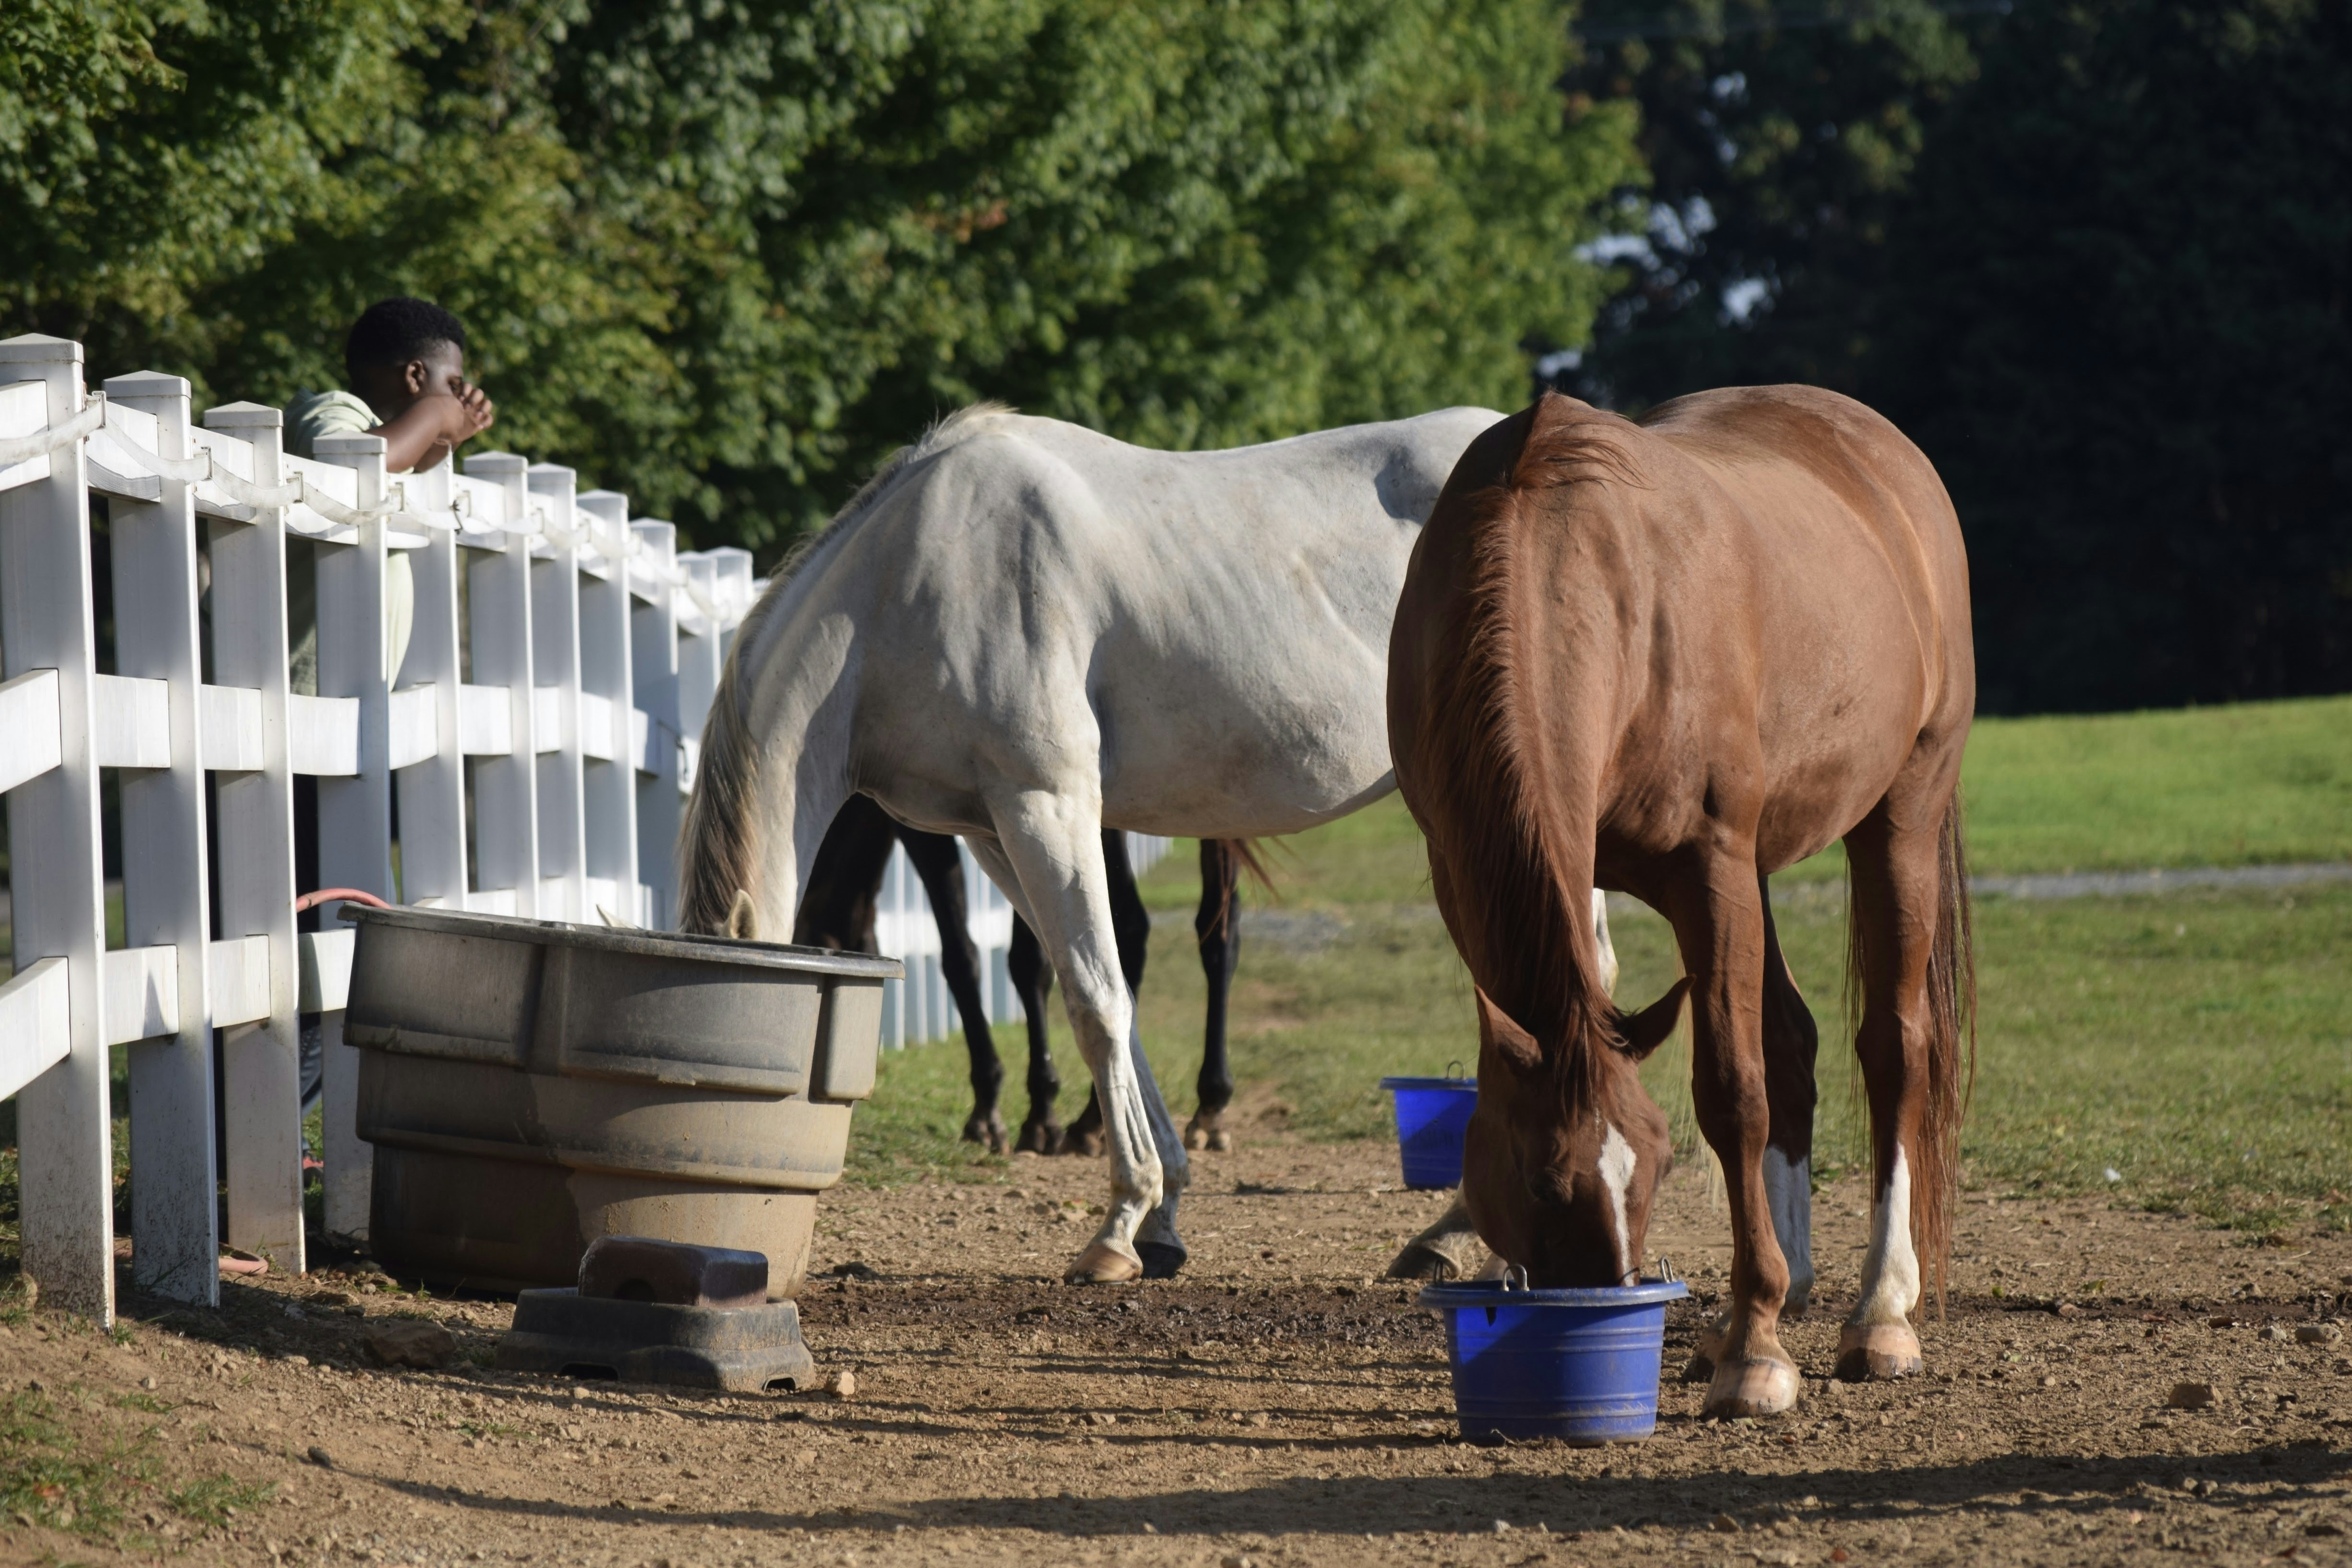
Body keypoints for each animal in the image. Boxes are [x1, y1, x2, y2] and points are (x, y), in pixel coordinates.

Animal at [795, 799, 1251, 1152]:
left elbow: (979, 956)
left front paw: (1015, 1110)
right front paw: (1029, 1105)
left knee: (1138, 931)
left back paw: (1107, 1118)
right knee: (1214, 932)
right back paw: (1200, 1106)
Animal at [1383, 385, 1976, 1420]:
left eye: (1658, 1164)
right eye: (1541, 1182)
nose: (1598, 1296)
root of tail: (1882, 451)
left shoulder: (1708, 869)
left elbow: (1732, 1093)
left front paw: (1755, 1355)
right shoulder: (1466, 863)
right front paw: (1751, 1314)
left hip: (1899, 811)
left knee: (1893, 1049)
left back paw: (1879, 1313)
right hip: (1764, 862)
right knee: (1793, 1041)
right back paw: (1793, 1282)